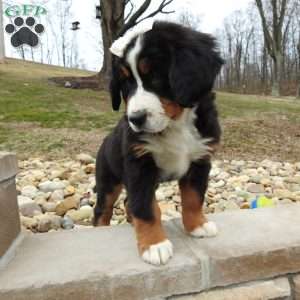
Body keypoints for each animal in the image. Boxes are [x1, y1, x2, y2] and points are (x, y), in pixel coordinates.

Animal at [93, 20, 223, 264]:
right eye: (126, 83)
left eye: (154, 76)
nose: (135, 119)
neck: (175, 124)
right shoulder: (139, 165)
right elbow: (145, 208)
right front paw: (154, 245)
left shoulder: (200, 160)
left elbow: (193, 198)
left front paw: (198, 226)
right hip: (108, 180)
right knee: (102, 209)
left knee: (128, 202)